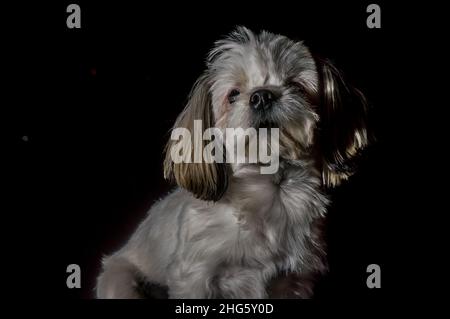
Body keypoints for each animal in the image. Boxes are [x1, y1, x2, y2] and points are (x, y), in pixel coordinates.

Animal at [95, 27, 370, 300]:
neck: (269, 190)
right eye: (233, 95)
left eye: (296, 86)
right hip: (120, 281)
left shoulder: (293, 282)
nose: (262, 96)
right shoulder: (194, 279)